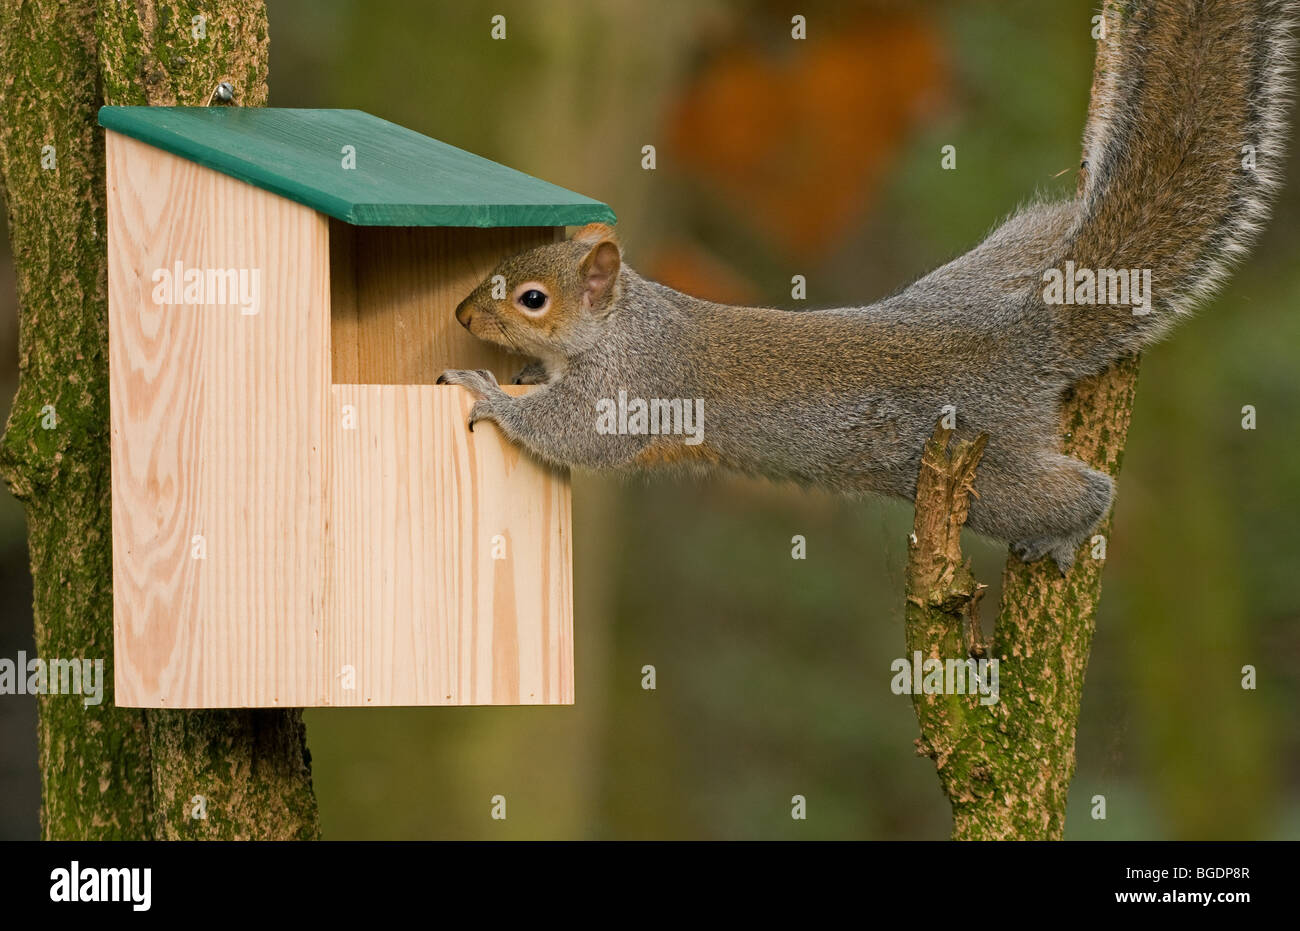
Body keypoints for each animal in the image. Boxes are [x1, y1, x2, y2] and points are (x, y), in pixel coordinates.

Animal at [441, 1, 1294, 574]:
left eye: (531, 298)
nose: (461, 314)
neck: (622, 321)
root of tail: (1018, 333)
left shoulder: (634, 383)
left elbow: (581, 434)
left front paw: (489, 394)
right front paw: (516, 375)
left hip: (987, 468)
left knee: (1072, 492)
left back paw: (1071, 526)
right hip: (990, 264)